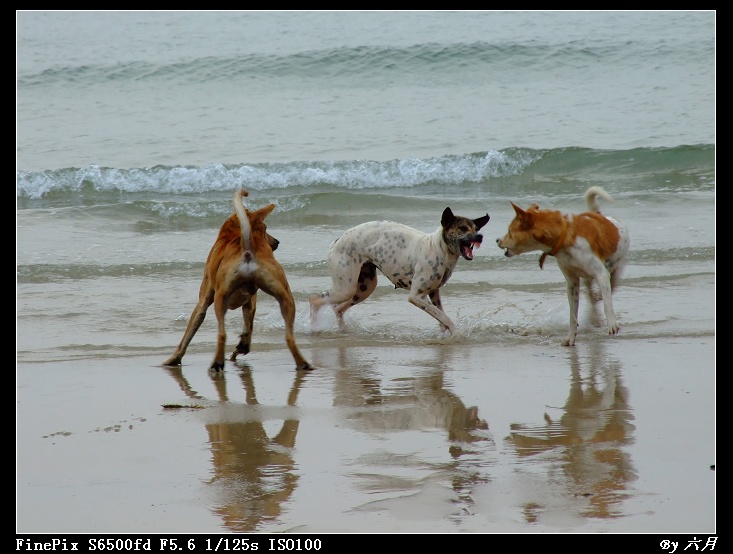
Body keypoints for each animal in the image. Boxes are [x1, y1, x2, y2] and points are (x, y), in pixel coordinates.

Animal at [163, 189, 312, 370]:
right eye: (266, 228)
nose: (276, 242)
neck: (231, 237)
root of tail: (247, 250)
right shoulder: (250, 300)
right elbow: (248, 324)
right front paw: (243, 345)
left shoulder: (203, 302)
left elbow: (188, 333)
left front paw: (174, 358)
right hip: (286, 297)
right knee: (289, 336)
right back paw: (302, 363)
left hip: (221, 299)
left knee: (222, 334)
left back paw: (217, 362)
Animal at [308, 208, 486, 332]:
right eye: (462, 228)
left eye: (476, 229)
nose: (480, 236)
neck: (438, 248)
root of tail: (337, 241)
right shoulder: (416, 296)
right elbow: (445, 317)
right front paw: (456, 333)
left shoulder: (434, 293)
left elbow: (441, 316)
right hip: (346, 288)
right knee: (314, 300)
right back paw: (314, 328)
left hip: (364, 287)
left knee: (337, 308)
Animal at [498, 187, 628, 344]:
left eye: (509, 231)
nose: (497, 240)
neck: (564, 236)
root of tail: (598, 214)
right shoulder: (572, 282)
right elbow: (573, 314)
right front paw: (571, 337)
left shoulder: (601, 274)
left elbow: (607, 303)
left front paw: (612, 323)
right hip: (588, 279)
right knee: (591, 295)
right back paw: (594, 315)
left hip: (614, 271)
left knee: (607, 290)